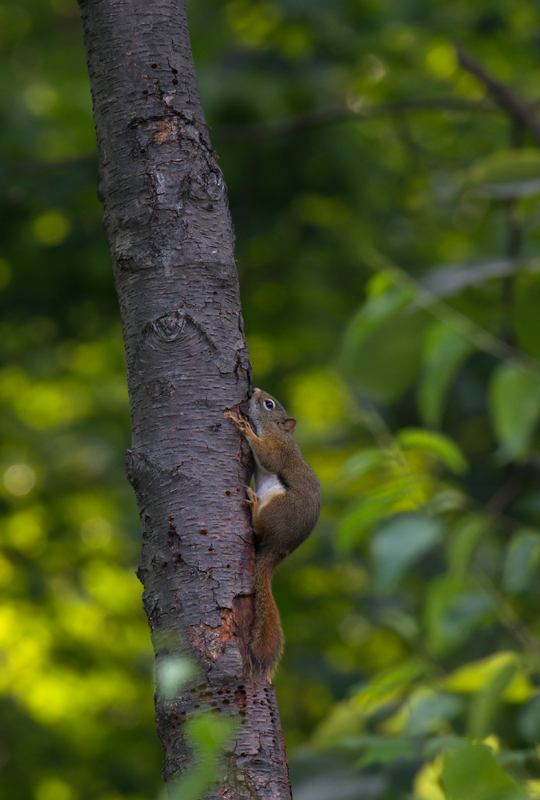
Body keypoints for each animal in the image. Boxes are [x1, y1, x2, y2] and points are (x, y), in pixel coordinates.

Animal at [225, 388, 321, 681]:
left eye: (269, 404)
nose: (254, 390)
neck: (281, 433)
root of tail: (279, 549)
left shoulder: (279, 450)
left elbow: (267, 456)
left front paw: (246, 429)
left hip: (279, 507)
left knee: (259, 526)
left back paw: (255, 506)